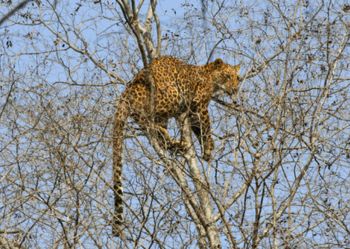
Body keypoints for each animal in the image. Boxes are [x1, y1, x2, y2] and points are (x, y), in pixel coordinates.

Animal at [112, 55, 241, 236]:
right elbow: (206, 127)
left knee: (156, 133)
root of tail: (128, 90)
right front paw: (209, 147)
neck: (211, 77)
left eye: (238, 78)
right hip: (169, 94)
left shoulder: (193, 111)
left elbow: (198, 129)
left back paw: (177, 144)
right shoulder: (200, 103)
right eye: (228, 76)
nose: (235, 89)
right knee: (149, 121)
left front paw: (207, 149)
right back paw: (173, 140)